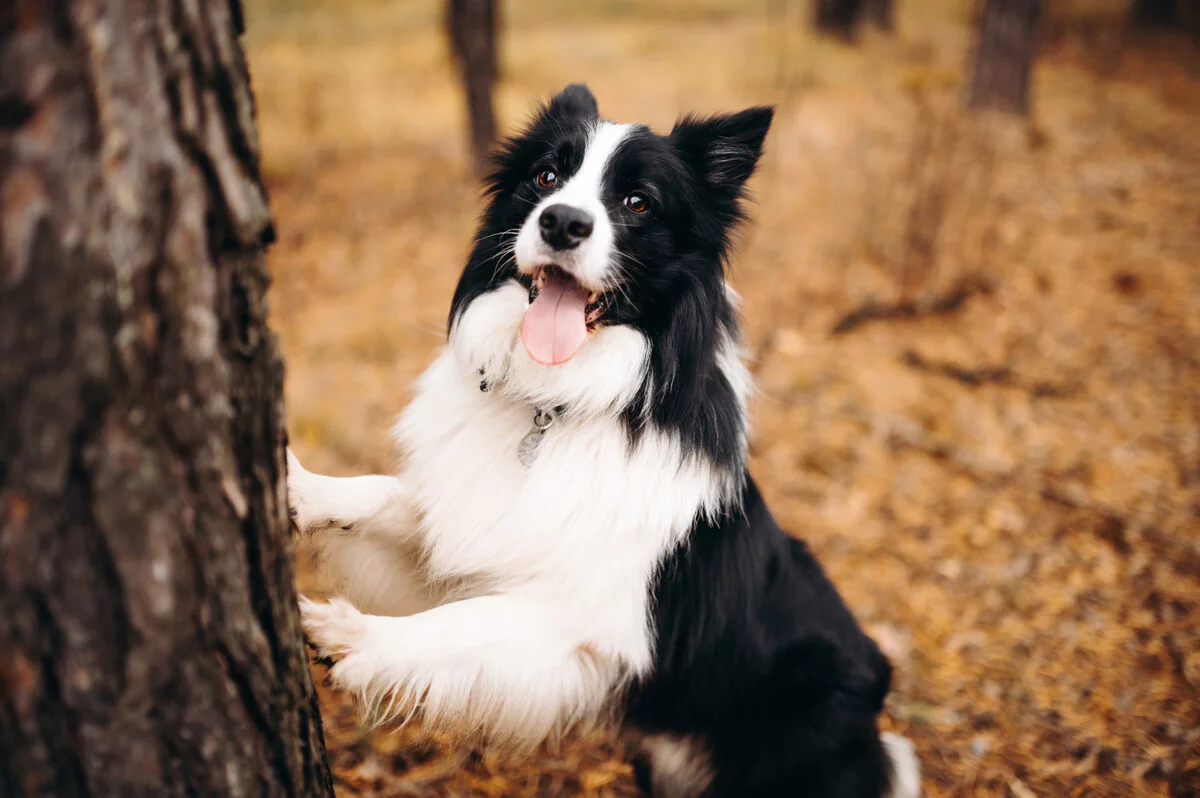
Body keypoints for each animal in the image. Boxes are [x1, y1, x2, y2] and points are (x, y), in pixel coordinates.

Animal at [288, 84, 916, 792]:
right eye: (546, 177)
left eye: (638, 201)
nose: (562, 222)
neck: (556, 403)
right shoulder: (470, 533)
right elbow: (389, 496)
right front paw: (299, 487)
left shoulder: (585, 622)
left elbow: (458, 625)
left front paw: (353, 636)